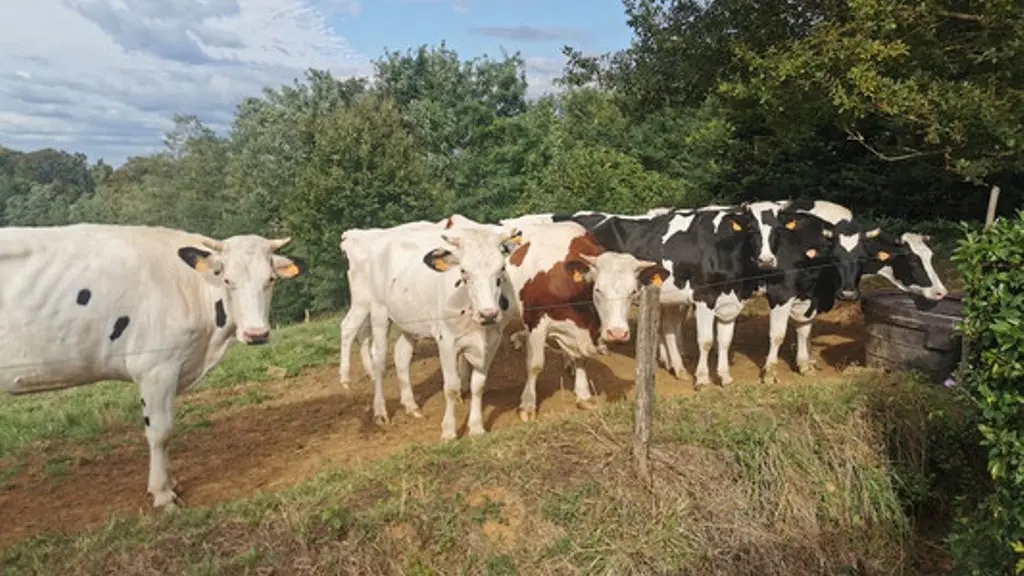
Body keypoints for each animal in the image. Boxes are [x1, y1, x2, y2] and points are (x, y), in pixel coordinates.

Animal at [0, 223, 303, 506]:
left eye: (271, 279)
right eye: (227, 279)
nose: (256, 334)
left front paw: (172, 482)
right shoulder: (157, 367)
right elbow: (160, 432)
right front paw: (162, 493)